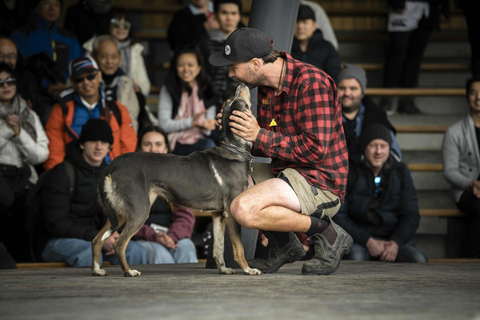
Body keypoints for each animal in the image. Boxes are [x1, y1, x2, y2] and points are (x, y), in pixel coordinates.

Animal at [91, 84, 260, 276]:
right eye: (238, 100)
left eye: (232, 100)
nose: (241, 84)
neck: (234, 150)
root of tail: (110, 166)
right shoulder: (231, 211)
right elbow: (238, 247)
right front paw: (248, 269)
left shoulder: (217, 214)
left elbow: (218, 247)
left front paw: (223, 269)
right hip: (138, 211)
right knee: (119, 244)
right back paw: (129, 272)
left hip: (117, 213)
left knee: (97, 240)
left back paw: (97, 270)